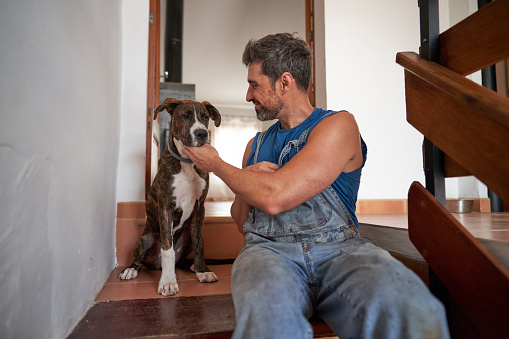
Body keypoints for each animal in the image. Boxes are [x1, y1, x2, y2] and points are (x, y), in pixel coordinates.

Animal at [121, 97, 222, 294]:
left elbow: (199, 245)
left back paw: (193, 266)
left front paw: (203, 271)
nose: (201, 133)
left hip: (187, 234)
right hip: (145, 238)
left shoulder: (200, 208)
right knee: (140, 260)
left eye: (205, 117)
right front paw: (168, 282)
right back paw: (130, 270)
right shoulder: (166, 206)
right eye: (185, 116)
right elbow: (168, 249)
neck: (187, 162)